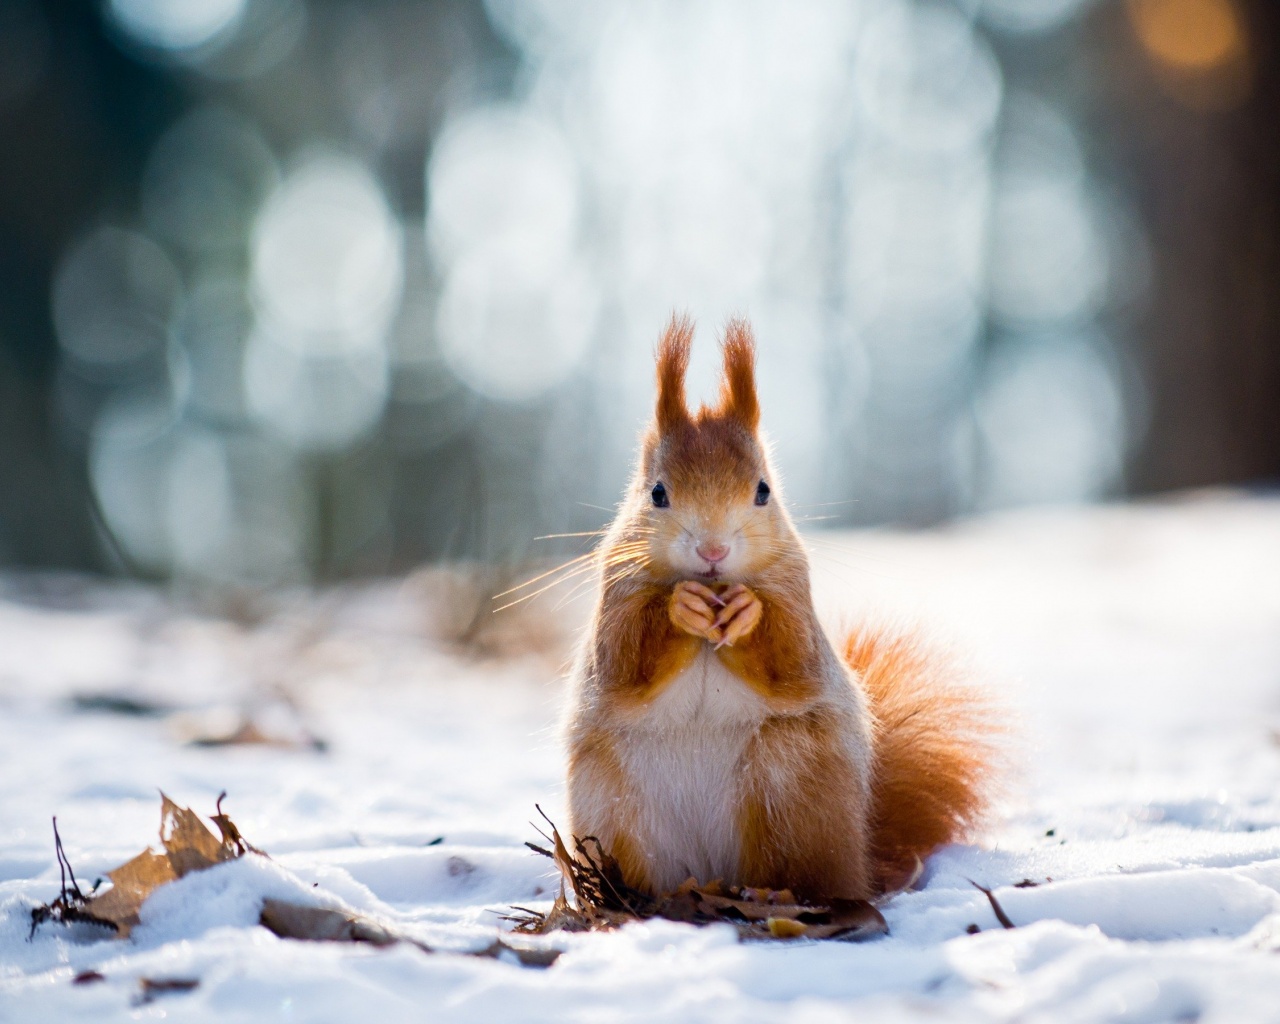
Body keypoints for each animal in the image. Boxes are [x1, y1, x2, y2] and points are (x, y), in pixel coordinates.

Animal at [565, 316, 993, 901]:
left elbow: (791, 658)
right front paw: (681, 606)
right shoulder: (616, 597)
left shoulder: (796, 595)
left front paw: (748, 613)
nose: (713, 552)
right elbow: (625, 661)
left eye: (763, 490)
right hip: (613, 807)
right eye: (656, 493)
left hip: (790, 783)